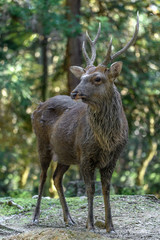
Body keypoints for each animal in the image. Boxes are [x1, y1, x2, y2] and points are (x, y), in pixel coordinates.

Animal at [31, 12, 139, 232]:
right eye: (82, 77)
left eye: (97, 78)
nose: (75, 93)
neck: (107, 140)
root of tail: (37, 107)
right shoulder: (85, 154)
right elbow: (90, 188)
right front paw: (90, 224)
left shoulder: (113, 157)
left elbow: (106, 188)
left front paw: (110, 226)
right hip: (42, 143)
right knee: (43, 176)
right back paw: (36, 217)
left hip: (65, 154)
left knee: (57, 178)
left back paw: (69, 219)